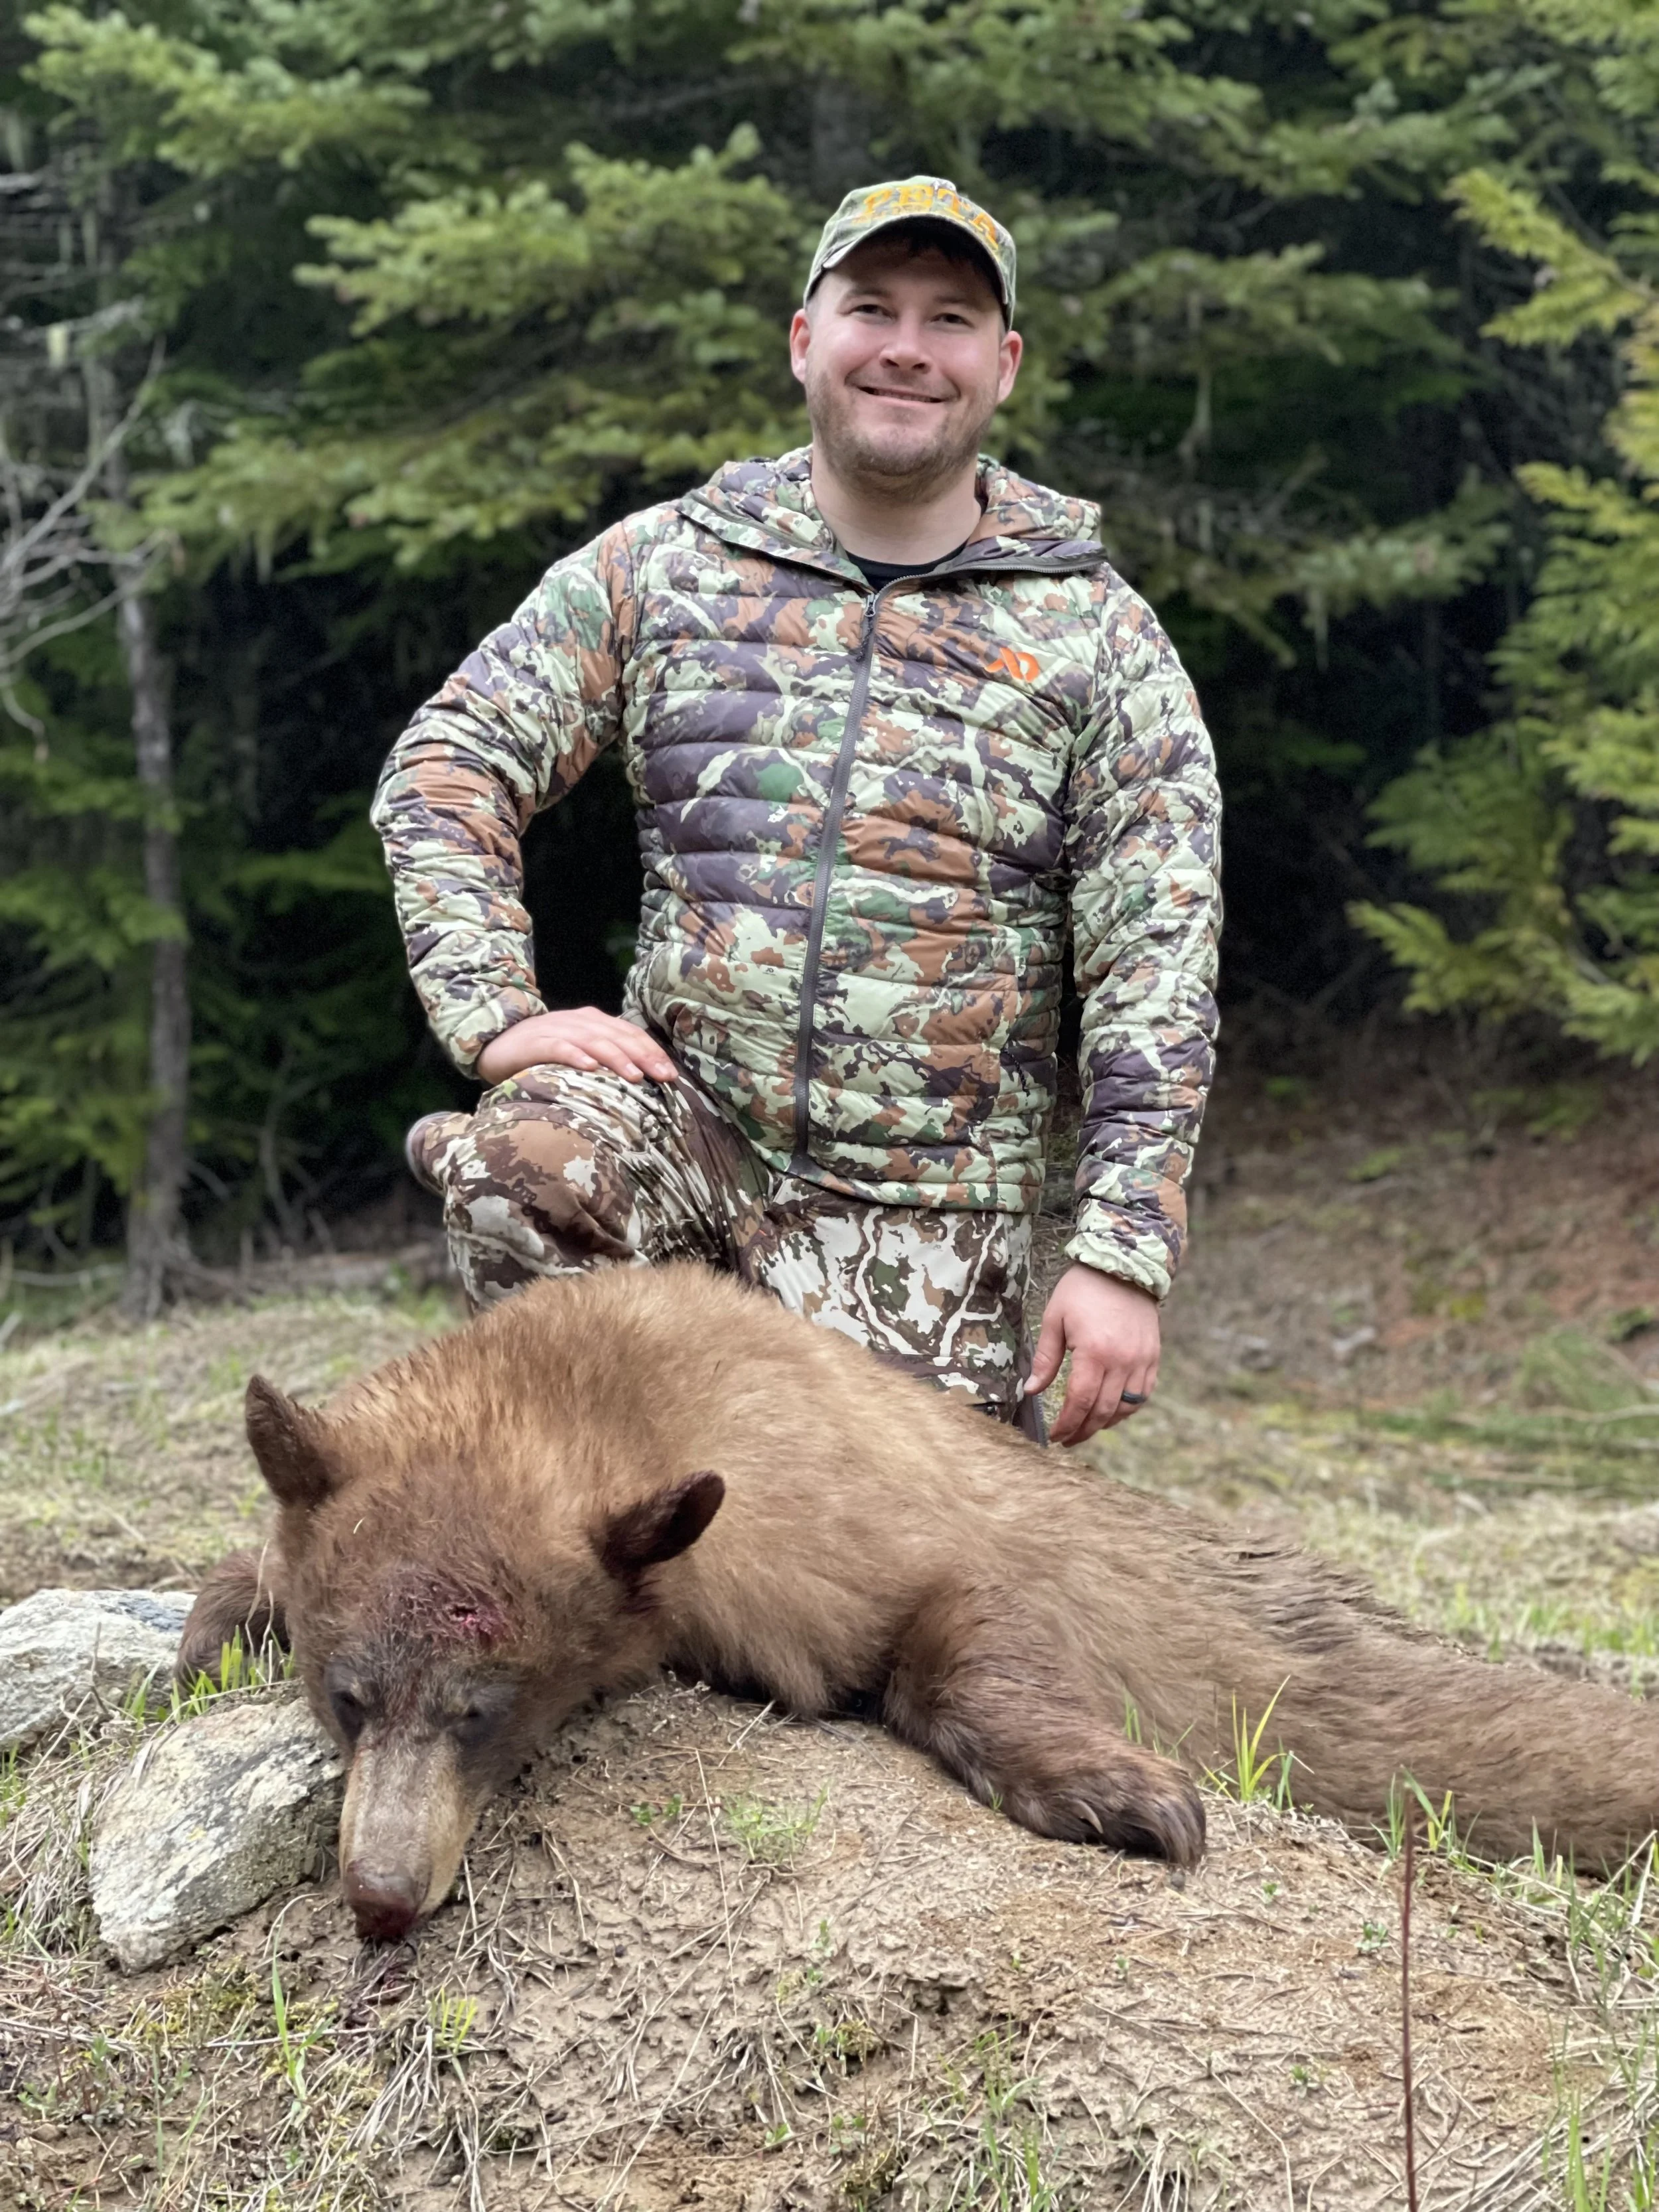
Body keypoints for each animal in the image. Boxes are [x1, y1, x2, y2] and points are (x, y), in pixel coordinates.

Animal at [181, 1261, 1659, 1943]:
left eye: (485, 1711)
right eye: (347, 1695)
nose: (380, 1891)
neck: (603, 1385)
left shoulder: (814, 1520)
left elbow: (953, 1623)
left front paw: (1123, 1790)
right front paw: (216, 1620)